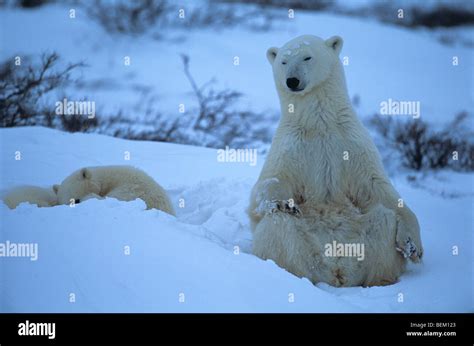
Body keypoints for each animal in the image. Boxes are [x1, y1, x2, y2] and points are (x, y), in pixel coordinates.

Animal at [248, 35, 422, 288]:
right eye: (283, 61)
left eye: (307, 57)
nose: (292, 81)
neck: (320, 123)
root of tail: (337, 270)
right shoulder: (290, 145)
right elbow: (271, 182)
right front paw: (284, 202)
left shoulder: (351, 142)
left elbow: (377, 187)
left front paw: (412, 244)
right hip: (304, 245)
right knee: (278, 227)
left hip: (362, 238)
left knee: (385, 221)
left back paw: (380, 279)